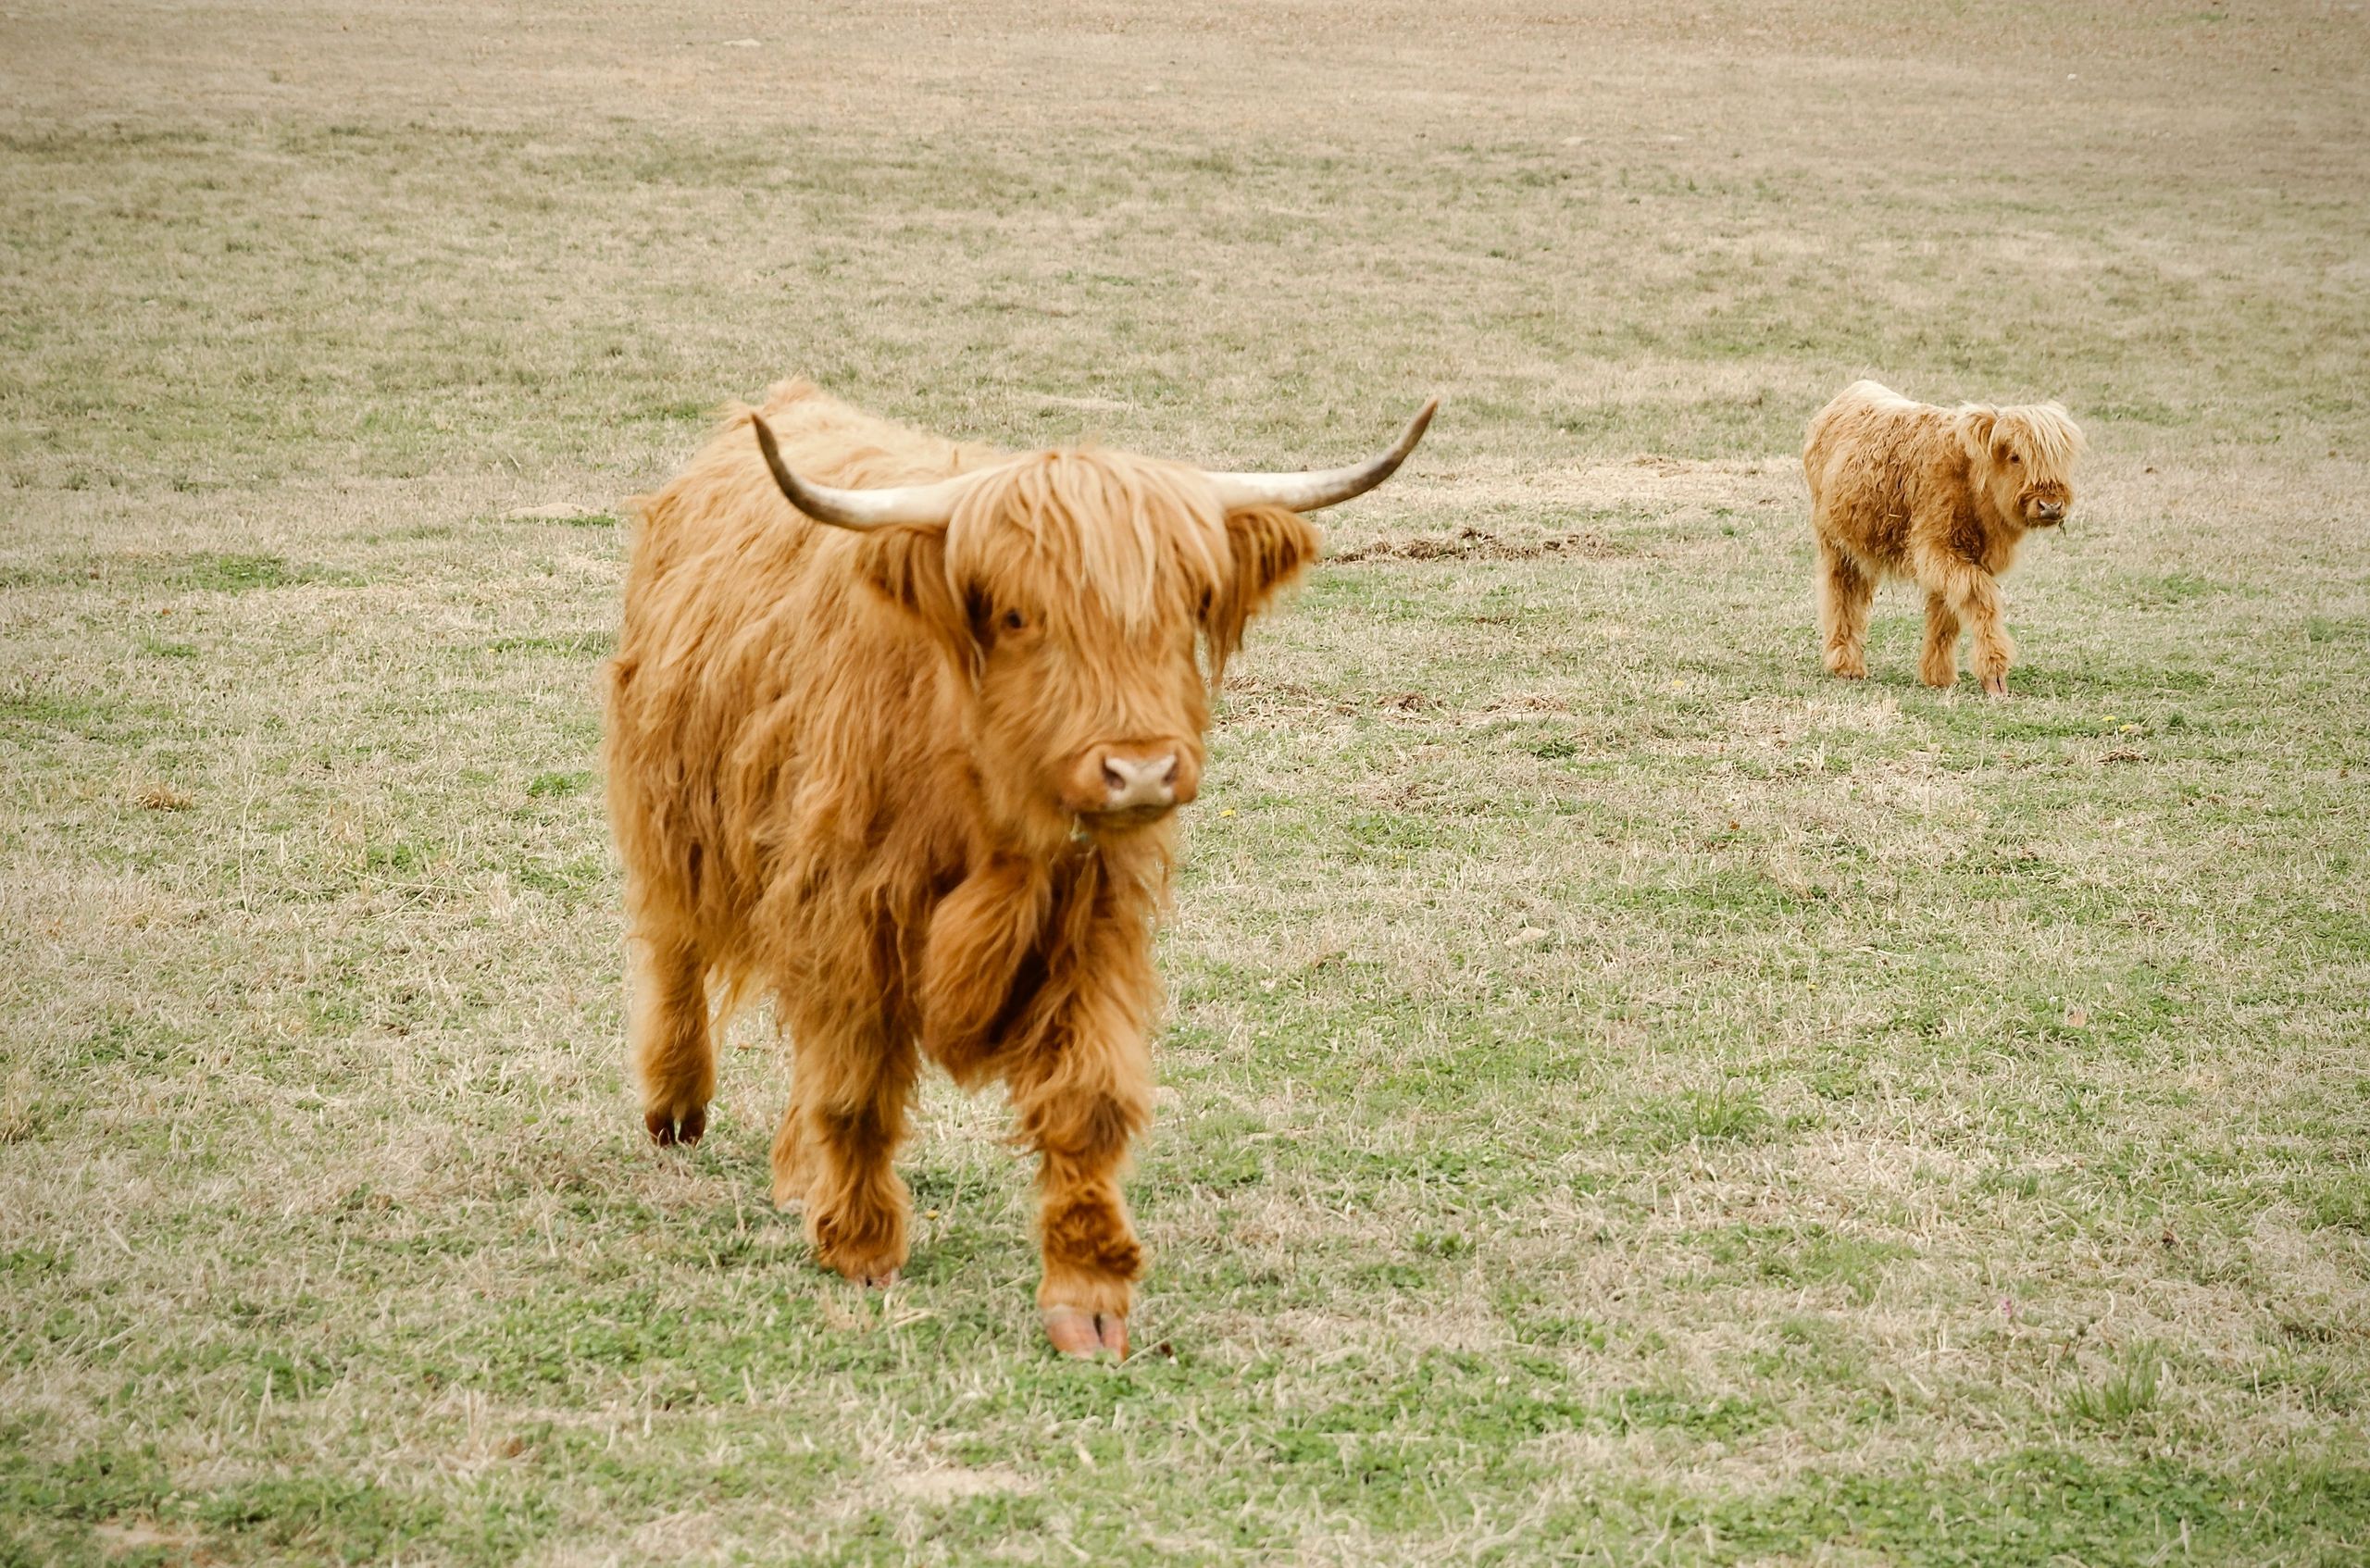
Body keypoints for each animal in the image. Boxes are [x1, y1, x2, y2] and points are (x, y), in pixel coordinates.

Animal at [605, 379, 1433, 1357]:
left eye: (1187, 607)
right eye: (1016, 615)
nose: (1140, 769)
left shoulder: (1089, 921)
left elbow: (1087, 1101)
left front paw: (1089, 1295)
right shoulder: (847, 910)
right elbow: (854, 1087)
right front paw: (862, 1247)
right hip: (673, 809)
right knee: (675, 947)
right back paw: (677, 1105)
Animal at [1804, 379, 2086, 696]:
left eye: (2059, 459)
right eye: (2016, 456)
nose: (2050, 504)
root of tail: (1854, 390)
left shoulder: (1967, 557)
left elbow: (1947, 614)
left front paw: (1939, 676)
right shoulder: (1936, 548)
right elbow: (1979, 596)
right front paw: (1994, 674)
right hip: (1834, 544)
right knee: (1840, 595)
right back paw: (1846, 665)